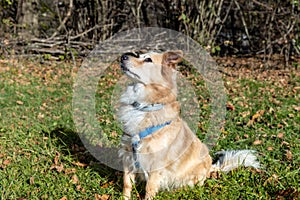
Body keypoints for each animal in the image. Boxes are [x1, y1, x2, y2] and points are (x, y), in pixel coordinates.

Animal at [117, 50, 260, 198]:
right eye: (138, 55)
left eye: (148, 60)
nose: (123, 56)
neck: (145, 107)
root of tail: (211, 168)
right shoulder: (128, 155)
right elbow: (127, 183)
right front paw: (124, 198)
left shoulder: (156, 163)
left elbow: (149, 189)